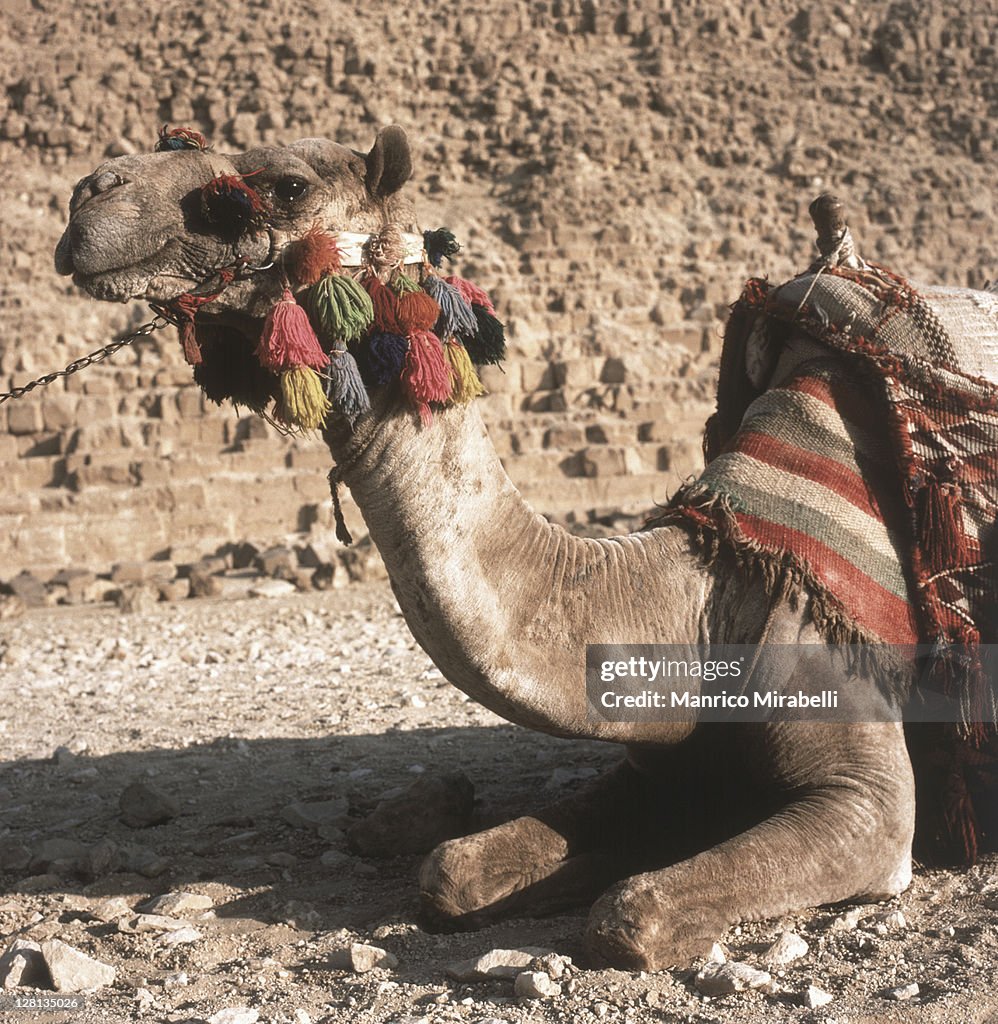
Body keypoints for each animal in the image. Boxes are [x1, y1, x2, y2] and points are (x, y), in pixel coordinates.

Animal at [54, 123, 974, 970]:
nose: (91, 193)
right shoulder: (659, 764)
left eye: (285, 185)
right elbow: (452, 870)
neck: (701, 596)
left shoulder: (862, 789)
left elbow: (633, 912)